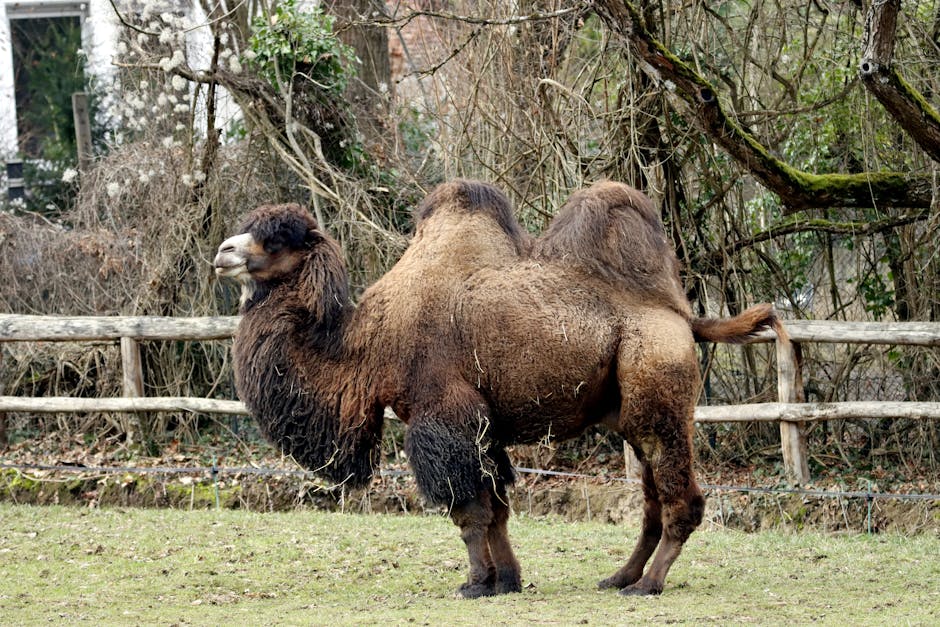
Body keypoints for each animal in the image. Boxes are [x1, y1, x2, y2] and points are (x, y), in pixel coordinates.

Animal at [214, 179, 785, 598]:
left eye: (277, 238)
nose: (223, 252)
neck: (367, 341)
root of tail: (684, 316)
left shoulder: (441, 415)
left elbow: (467, 510)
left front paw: (473, 584)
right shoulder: (482, 426)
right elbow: (497, 509)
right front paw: (505, 581)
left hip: (657, 385)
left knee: (680, 494)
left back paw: (648, 585)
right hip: (629, 407)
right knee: (650, 497)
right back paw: (619, 577)